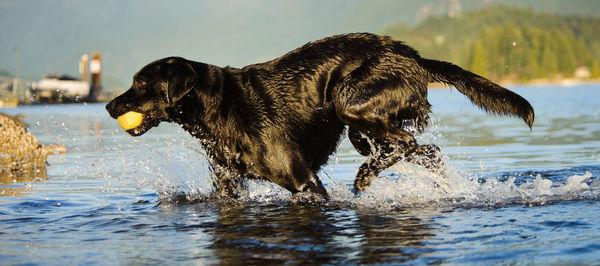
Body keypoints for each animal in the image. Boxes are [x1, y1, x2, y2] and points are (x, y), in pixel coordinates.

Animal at [106, 33, 536, 198]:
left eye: (141, 83)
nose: (110, 106)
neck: (219, 107)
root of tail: (413, 55)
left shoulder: (304, 182)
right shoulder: (228, 187)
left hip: (349, 103)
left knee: (407, 143)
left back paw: (364, 178)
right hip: (362, 126)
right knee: (424, 150)